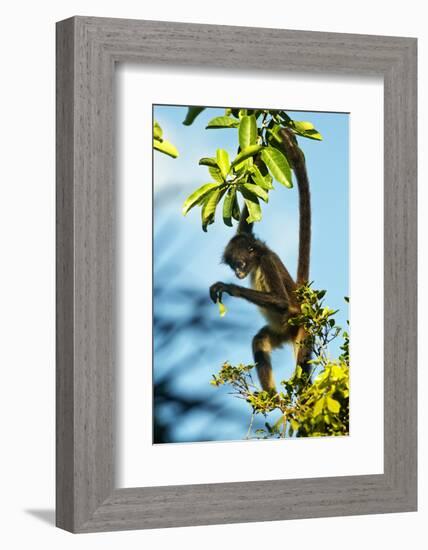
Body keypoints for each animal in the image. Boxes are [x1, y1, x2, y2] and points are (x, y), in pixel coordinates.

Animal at [210, 129, 310, 392]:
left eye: (240, 265)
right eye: (233, 267)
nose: (237, 275)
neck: (258, 259)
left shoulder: (266, 261)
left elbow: (280, 301)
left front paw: (229, 288)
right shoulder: (245, 236)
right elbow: (246, 222)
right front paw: (256, 153)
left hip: (301, 331)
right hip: (279, 333)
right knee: (259, 341)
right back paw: (272, 397)